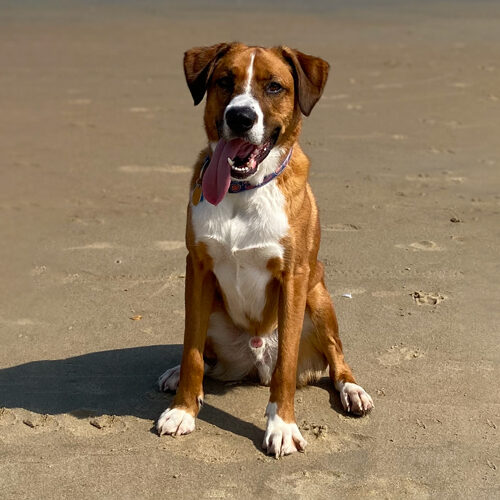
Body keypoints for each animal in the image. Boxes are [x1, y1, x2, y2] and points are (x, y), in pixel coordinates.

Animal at [156, 43, 372, 458]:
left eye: (274, 86)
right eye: (225, 80)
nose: (240, 117)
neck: (244, 189)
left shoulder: (294, 277)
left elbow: (285, 364)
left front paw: (282, 426)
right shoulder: (198, 270)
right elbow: (191, 351)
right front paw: (183, 410)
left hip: (318, 293)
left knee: (336, 356)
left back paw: (352, 390)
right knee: (203, 353)